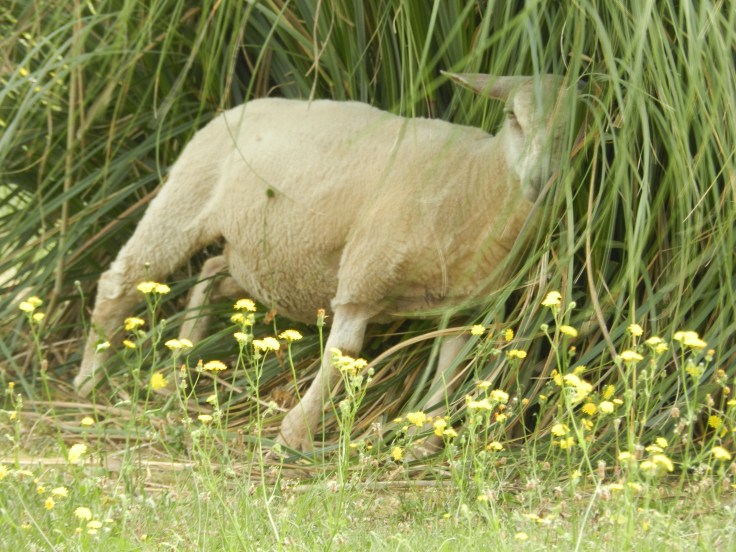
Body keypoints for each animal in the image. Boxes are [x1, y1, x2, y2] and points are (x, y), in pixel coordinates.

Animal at [74, 72, 576, 451]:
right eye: (513, 117)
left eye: (575, 126)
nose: (540, 182)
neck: (476, 184)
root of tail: (238, 107)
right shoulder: (365, 273)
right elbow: (344, 354)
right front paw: (294, 437)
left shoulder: (462, 303)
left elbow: (451, 372)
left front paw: (424, 442)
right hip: (187, 196)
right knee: (120, 281)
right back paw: (89, 379)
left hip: (262, 258)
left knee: (211, 272)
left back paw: (178, 368)